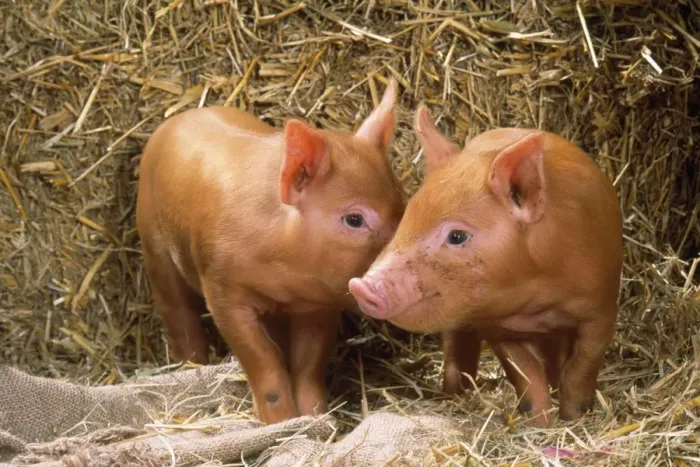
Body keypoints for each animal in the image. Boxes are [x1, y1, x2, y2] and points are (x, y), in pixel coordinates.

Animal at [135, 79, 405, 424]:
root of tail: (178, 119)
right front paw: (279, 423)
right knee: (178, 314)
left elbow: (309, 366)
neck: (281, 270)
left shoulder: (318, 306)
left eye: (403, 204)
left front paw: (317, 419)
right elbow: (264, 362)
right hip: (154, 244)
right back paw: (191, 366)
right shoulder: (222, 291)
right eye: (355, 219)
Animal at [349, 105, 623, 426]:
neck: (538, 299)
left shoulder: (601, 308)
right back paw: (454, 392)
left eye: (457, 236)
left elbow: (583, 366)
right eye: (407, 217)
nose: (360, 286)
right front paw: (538, 423)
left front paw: (574, 417)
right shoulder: (496, 326)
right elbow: (526, 375)